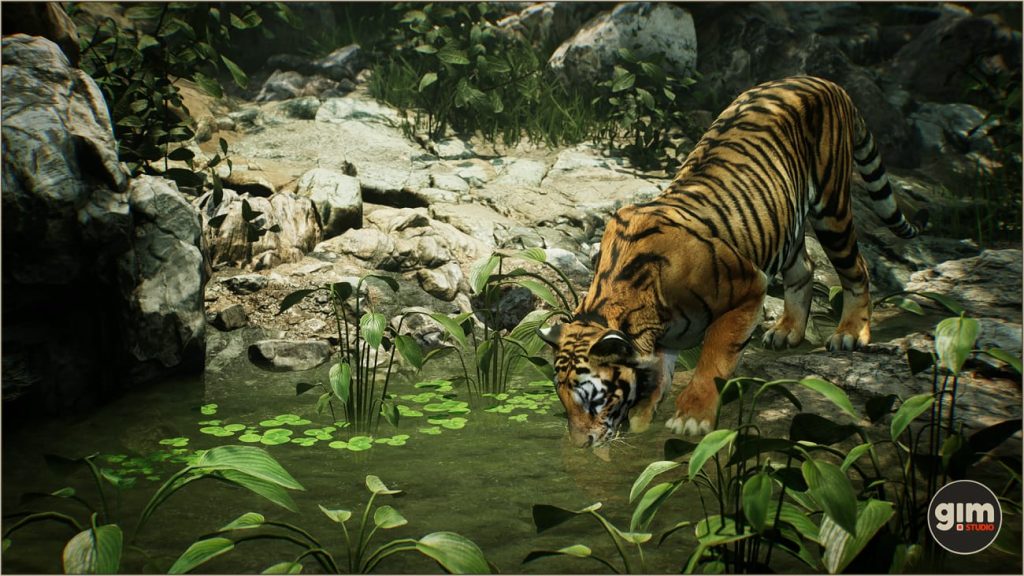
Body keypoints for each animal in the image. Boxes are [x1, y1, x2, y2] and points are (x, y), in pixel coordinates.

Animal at [539, 76, 919, 447]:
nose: (581, 443)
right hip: (784, 225)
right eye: (562, 399)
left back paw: (850, 334)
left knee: (857, 269)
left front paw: (692, 418)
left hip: (832, 209)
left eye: (594, 399)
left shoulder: (749, 287)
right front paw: (646, 414)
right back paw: (787, 332)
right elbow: (660, 371)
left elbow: (715, 356)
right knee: (805, 268)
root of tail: (824, 81)